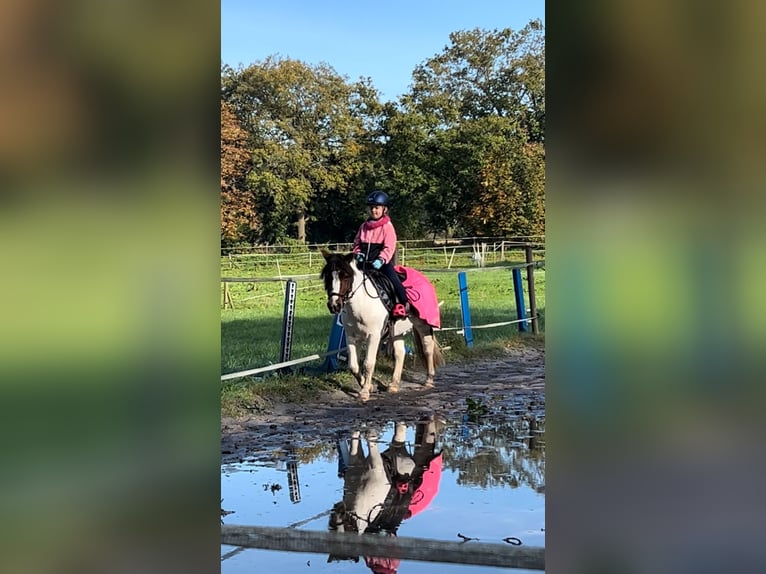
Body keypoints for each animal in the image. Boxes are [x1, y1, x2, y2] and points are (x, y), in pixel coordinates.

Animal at [320, 250, 444, 402]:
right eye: (327, 276)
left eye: (345, 276)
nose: (334, 305)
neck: (361, 303)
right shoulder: (351, 337)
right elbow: (353, 366)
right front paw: (369, 386)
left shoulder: (373, 336)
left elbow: (368, 363)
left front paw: (364, 392)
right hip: (397, 331)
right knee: (400, 353)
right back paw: (393, 385)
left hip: (423, 325)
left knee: (427, 348)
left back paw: (429, 380)